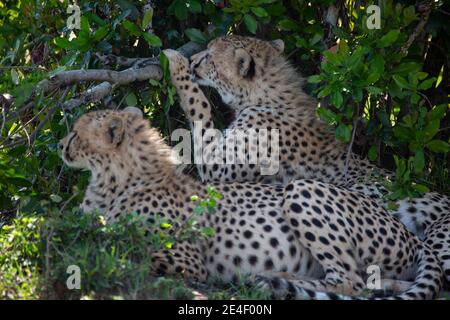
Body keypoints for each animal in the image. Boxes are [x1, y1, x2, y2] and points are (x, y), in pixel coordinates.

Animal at [57, 109, 442, 298]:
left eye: (75, 133)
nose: (61, 144)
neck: (114, 178)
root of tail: (409, 231)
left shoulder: (187, 259)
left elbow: (122, 244)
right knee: (376, 284)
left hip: (301, 188)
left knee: (351, 281)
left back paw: (277, 281)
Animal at [162, 36, 450, 284]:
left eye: (210, 56)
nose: (194, 60)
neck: (268, 93)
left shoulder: (217, 169)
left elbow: (199, 107)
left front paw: (176, 63)